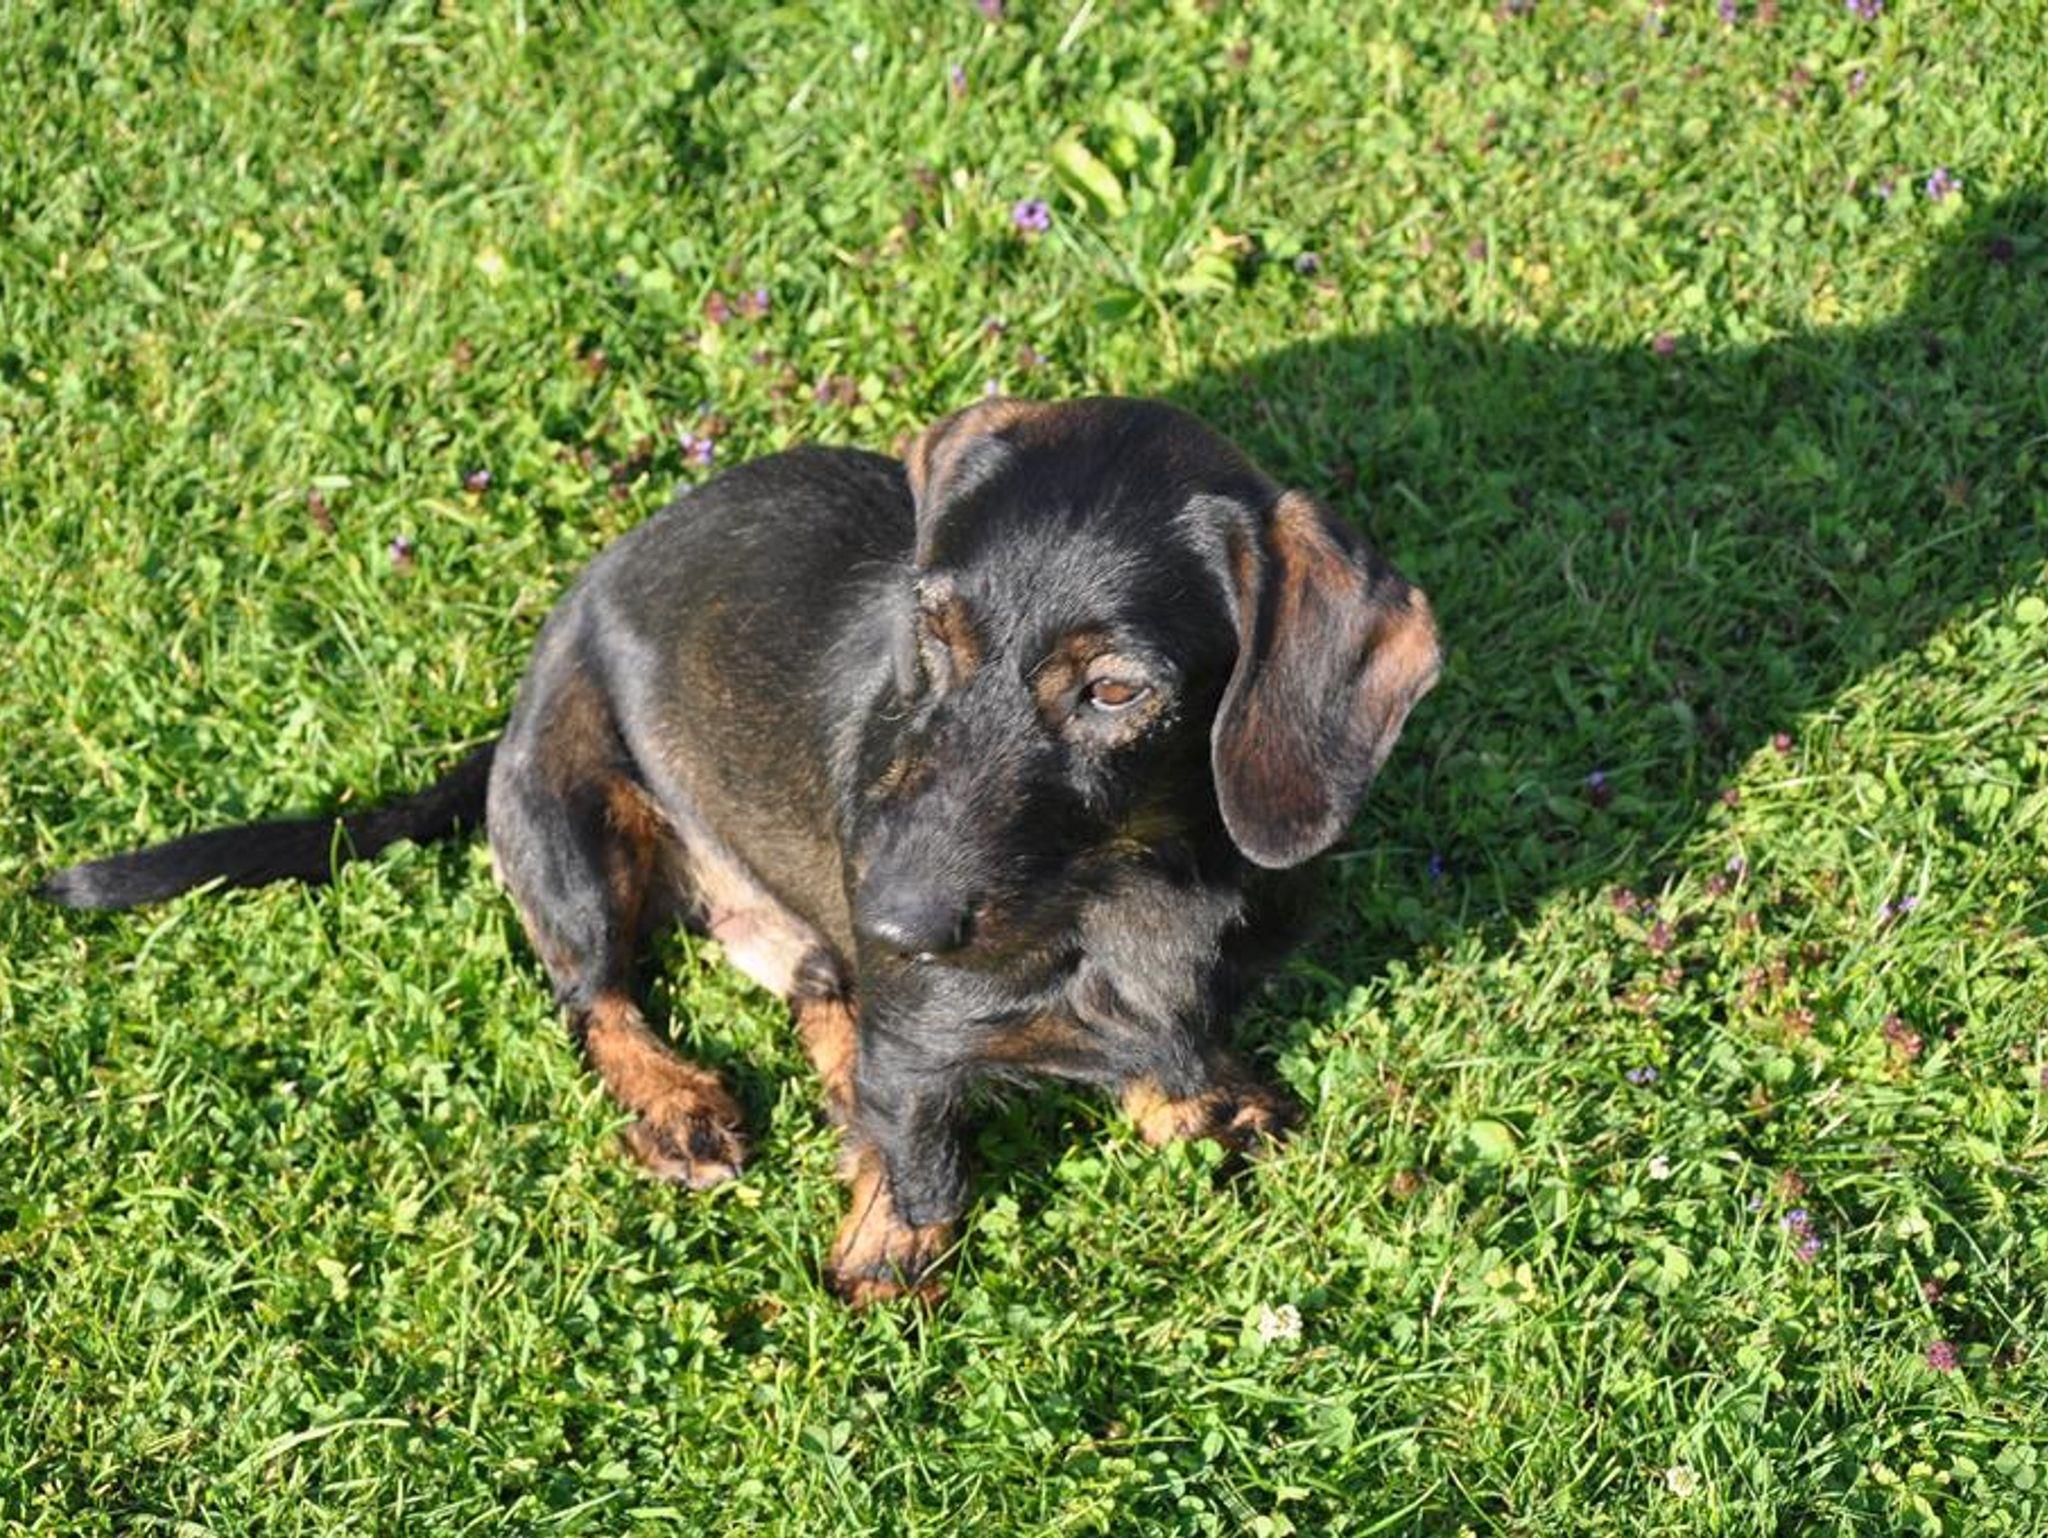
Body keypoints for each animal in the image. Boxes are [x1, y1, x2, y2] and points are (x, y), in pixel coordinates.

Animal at [42, 396, 1441, 1303]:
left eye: (1113, 691)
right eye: (930, 633)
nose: (894, 916)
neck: (1127, 883)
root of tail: (527, 681)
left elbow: (1170, 1058)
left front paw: (1199, 1103)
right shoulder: (918, 1043)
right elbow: (924, 1163)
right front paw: (884, 1263)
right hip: (574, 825)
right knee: (593, 997)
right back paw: (679, 1105)